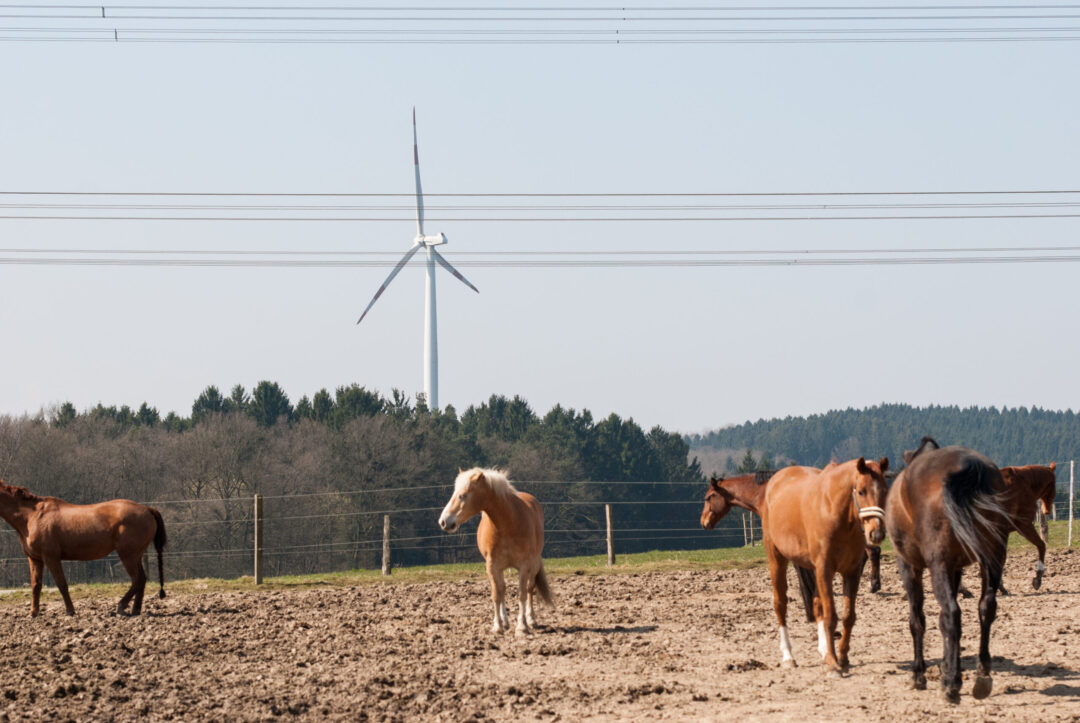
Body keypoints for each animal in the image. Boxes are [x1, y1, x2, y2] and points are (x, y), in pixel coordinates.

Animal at [0, 479, 167, 613]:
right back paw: (135, 610)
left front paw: (70, 611)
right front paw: (33, 613)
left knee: (137, 580)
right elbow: (36, 585)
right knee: (142, 580)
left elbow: (61, 584)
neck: (33, 516)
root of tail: (148, 510)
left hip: (128, 555)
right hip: (135, 555)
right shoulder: (34, 559)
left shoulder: (51, 558)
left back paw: (121, 606)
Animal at [436, 469, 552, 631]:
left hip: (533, 565)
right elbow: (497, 594)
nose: (443, 522)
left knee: (530, 588)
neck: (509, 523)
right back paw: (505, 621)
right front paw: (498, 626)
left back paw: (531, 619)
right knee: (502, 588)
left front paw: (522, 626)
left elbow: (522, 593)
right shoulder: (492, 566)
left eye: (462, 495)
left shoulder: (524, 566)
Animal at [756, 456, 889, 670]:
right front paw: (834, 662)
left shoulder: (851, 572)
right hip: (776, 558)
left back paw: (824, 650)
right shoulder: (825, 569)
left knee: (816, 604)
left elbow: (848, 617)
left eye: (884, 490)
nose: (876, 534)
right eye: (861, 491)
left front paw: (842, 657)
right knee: (780, 604)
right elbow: (830, 617)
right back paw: (788, 656)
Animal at [885, 436, 1010, 700]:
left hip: (938, 564)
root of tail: (970, 466)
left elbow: (917, 620)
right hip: (993, 558)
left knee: (952, 613)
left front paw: (919, 674)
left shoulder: (910, 566)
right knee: (986, 608)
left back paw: (951, 684)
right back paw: (982, 675)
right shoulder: (956, 568)